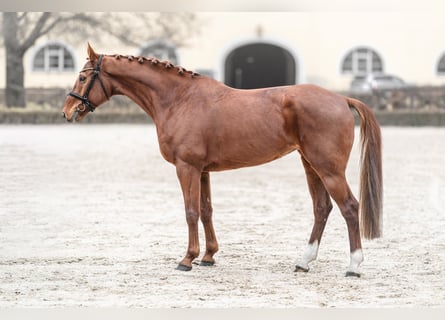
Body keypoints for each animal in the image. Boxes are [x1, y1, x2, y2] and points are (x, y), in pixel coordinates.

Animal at [63, 43, 382, 276]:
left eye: (82, 77)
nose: (67, 111)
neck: (179, 99)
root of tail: (341, 99)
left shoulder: (187, 168)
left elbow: (191, 211)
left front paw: (187, 259)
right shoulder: (203, 171)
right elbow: (206, 211)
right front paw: (208, 256)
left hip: (329, 169)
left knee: (349, 207)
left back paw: (354, 266)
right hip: (310, 165)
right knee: (322, 208)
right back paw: (303, 261)